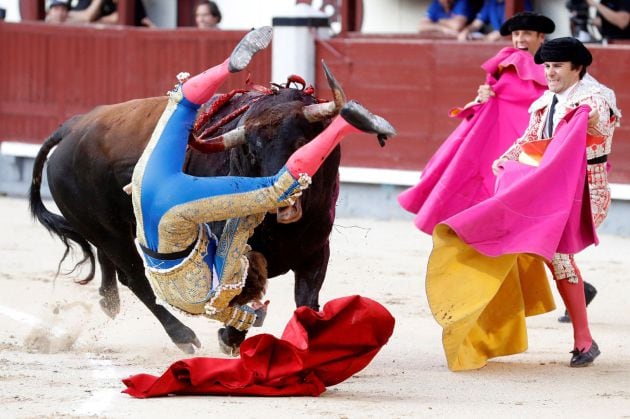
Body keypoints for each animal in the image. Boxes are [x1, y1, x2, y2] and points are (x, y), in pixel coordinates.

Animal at [28, 62, 346, 356]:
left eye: (301, 143)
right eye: (253, 152)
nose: (286, 203)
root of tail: (74, 126)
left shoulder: (317, 251)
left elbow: (307, 301)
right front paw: (230, 338)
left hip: (107, 229)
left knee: (112, 268)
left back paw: (110, 302)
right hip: (109, 233)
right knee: (135, 278)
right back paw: (183, 336)